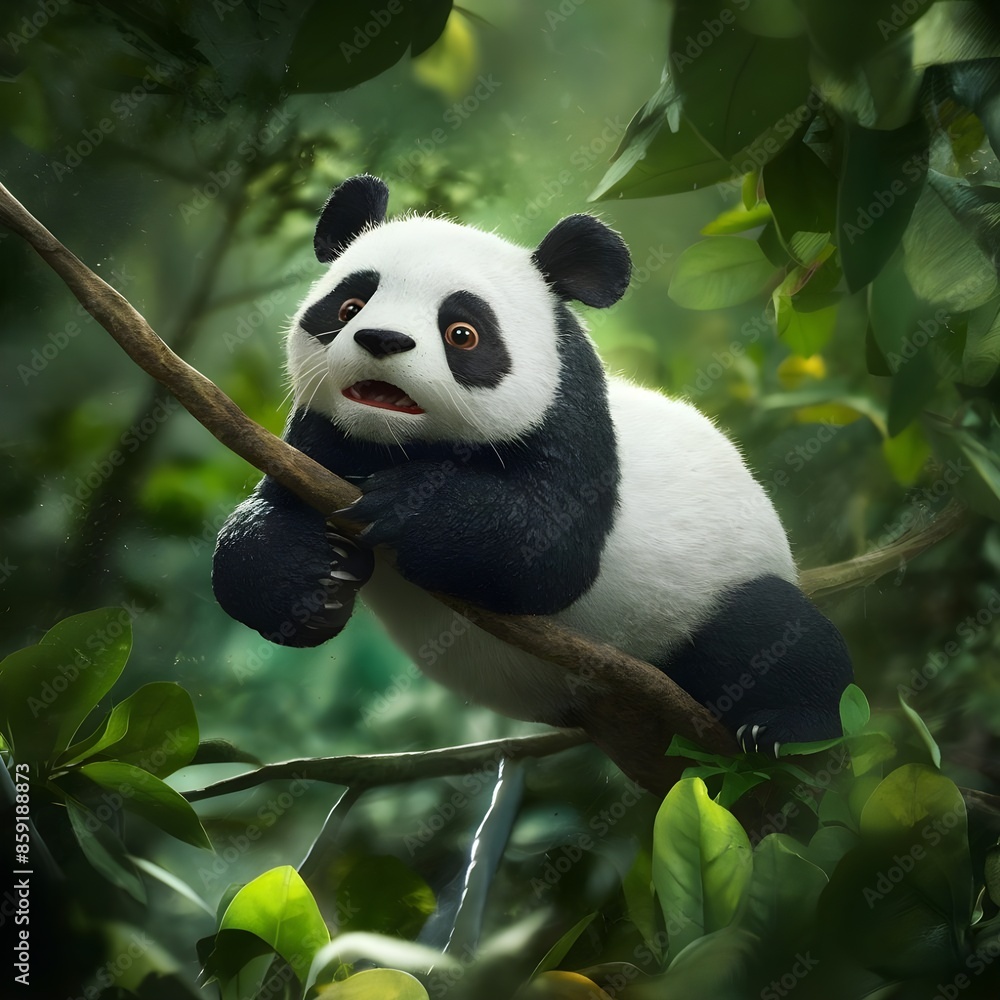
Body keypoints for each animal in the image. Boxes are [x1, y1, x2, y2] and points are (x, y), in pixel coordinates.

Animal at [212, 174, 853, 755]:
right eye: (349, 304)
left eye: (462, 333)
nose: (382, 339)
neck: (401, 444)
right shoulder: (318, 439)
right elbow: (270, 516)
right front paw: (316, 584)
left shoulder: (575, 422)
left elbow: (551, 550)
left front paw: (408, 506)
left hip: (713, 586)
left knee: (769, 633)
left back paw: (787, 728)